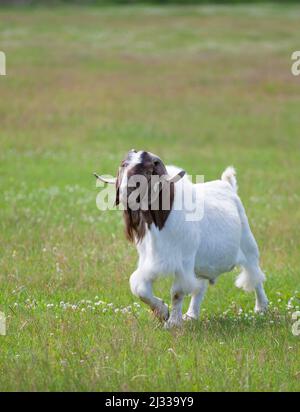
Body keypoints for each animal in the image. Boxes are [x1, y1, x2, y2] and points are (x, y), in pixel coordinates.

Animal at [96, 150, 270, 326]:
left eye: (147, 169)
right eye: (124, 165)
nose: (125, 192)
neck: (160, 222)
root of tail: (227, 185)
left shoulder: (184, 261)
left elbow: (177, 293)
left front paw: (172, 322)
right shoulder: (151, 261)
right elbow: (140, 288)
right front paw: (162, 312)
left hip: (248, 244)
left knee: (255, 275)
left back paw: (261, 308)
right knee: (200, 286)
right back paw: (191, 315)